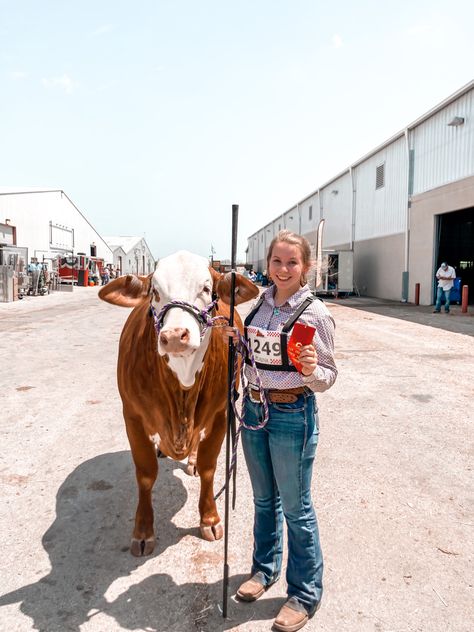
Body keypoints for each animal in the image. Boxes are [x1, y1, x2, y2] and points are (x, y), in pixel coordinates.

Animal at [97, 249, 258, 556]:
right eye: (155, 292)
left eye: (206, 289)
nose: (174, 337)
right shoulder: (132, 417)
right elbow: (146, 474)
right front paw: (143, 531)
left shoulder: (220, 414)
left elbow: (209, 467)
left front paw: (210, 518)